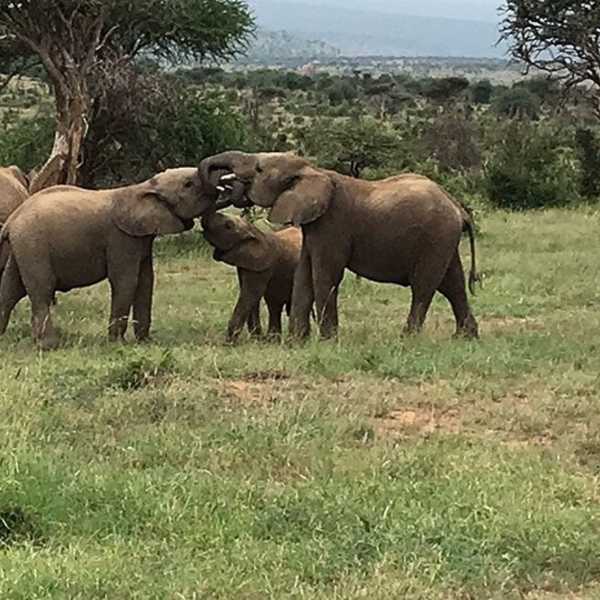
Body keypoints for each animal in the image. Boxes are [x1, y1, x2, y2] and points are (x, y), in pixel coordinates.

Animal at [0, 166, 214, 350]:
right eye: (188, 184)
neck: (145, 187)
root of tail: (11, 221)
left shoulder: (142, 239)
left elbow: (146, 281)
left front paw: (145, 342)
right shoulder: (121, 239)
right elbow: (126, 281)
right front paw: (118, 344)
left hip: (23, 247)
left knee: (11, 290)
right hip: (33, 245)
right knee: (41, 290)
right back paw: (49, 346)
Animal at [203, 211, 304, 342]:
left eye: (228, 225)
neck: (255, 232)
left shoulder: (263, 266)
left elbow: (250, 295)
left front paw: (229, 343)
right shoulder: (247, 264)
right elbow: (252, 297)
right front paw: (257, 339)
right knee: (274, 303)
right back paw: (272, 340)